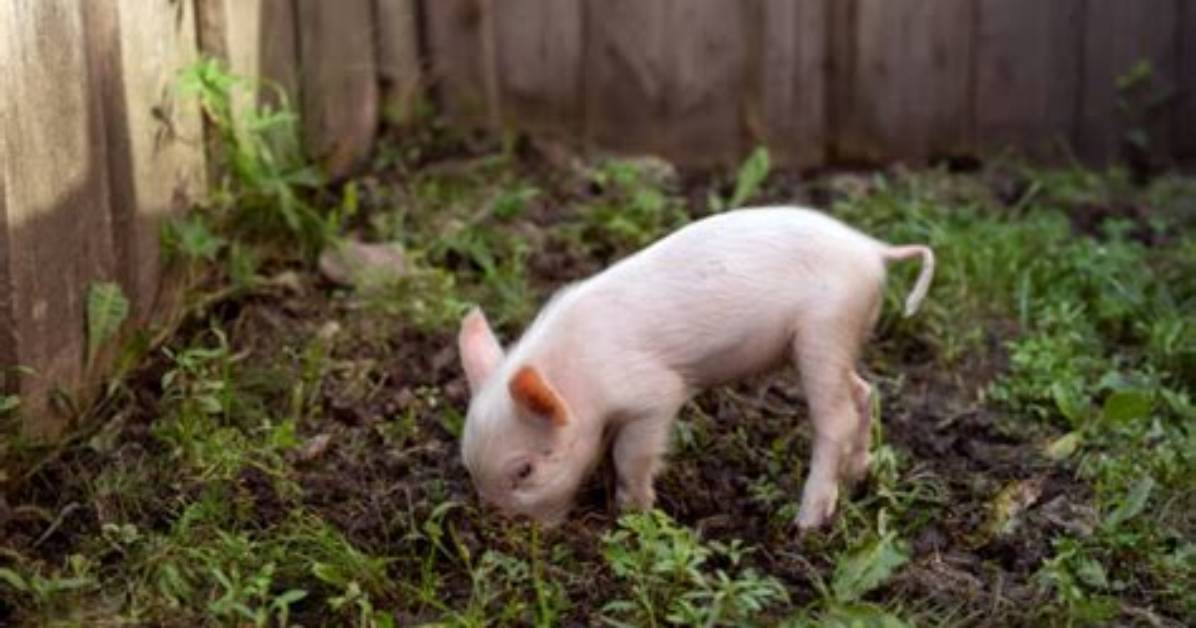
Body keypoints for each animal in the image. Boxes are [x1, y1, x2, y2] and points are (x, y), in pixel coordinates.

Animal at [457, 206, 934, 530]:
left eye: (524, 471)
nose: (500, 528)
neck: (580, 379)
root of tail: (872, 250)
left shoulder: (656, 396)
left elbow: (632, 456)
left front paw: (633, 514)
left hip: (824, 331)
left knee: (835, 418)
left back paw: (806, 523)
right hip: (839, 341)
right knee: (863, 391)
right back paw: (858, 475)